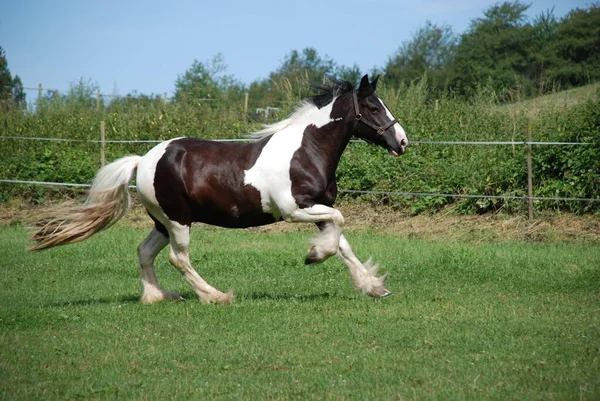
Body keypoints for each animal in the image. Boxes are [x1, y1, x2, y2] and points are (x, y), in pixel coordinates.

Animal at [30, 74, 410, 304]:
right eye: (373, 107)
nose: (403, 142)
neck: (306, 151)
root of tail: (144, 159)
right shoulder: (295, 210)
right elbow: (340, 226)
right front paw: (314, 256)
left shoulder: (317, 208)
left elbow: (343, 242)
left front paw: (374, 287)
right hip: (178, 221)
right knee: (178, 258)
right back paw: (216, 296)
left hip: (163, 222)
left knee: (145, 252)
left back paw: (159, 296)